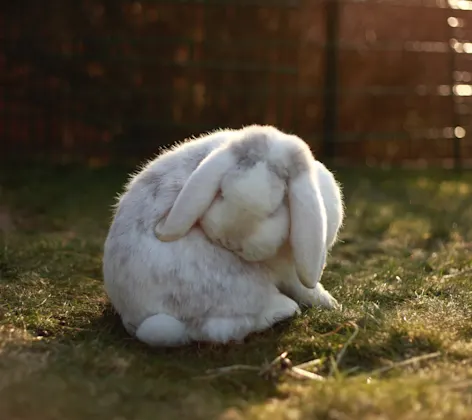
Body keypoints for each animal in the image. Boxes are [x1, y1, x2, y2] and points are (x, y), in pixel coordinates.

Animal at [103, 124, 342, 348]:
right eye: (222, 193)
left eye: (274, 210)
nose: (229, 241)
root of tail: (133, 315)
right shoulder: (288, 274)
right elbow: (306, 289)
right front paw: (331, 303)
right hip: (236, 290)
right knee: (224, 327)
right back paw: (285, 309)